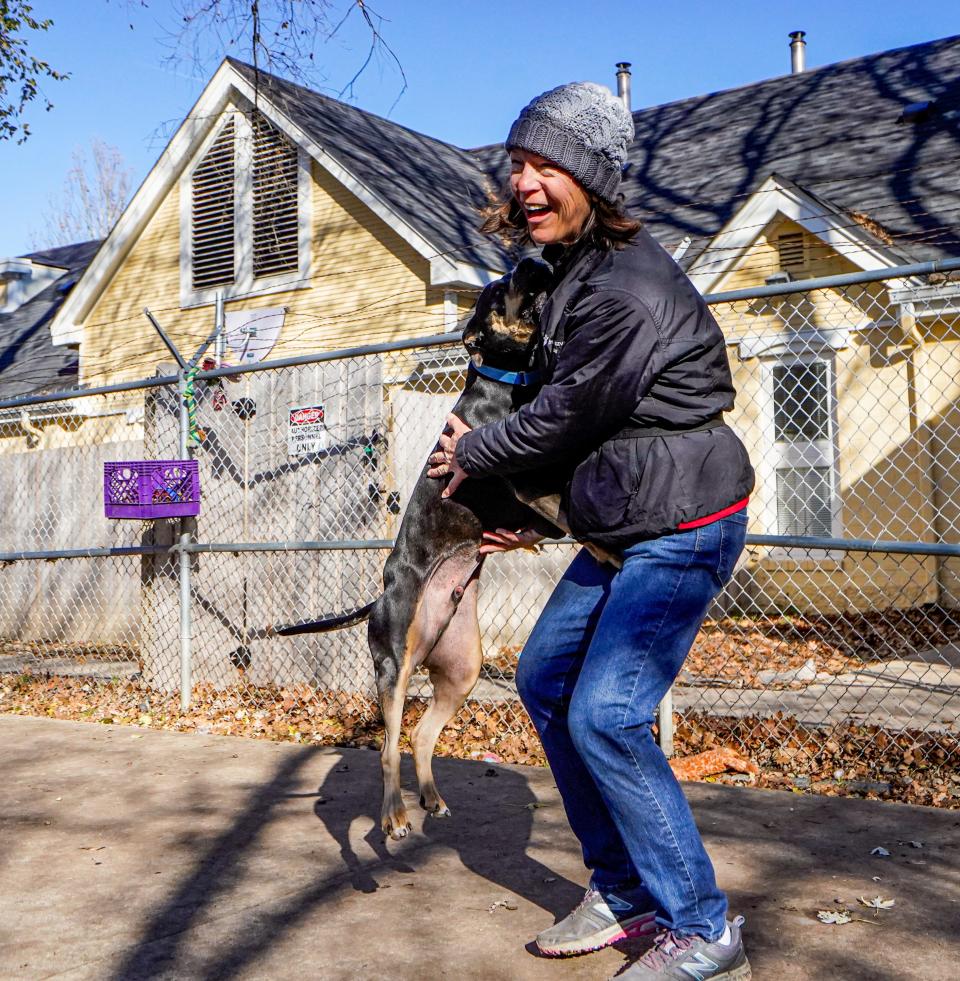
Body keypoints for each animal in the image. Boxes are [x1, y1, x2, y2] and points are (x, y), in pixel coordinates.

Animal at [278, 258, 608, 836]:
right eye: (498, 291)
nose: (532, 260)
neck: (512, 382)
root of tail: (380, 599)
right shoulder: (532, 482)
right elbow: (575, 506)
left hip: (461, 669)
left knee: (420, 735)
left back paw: (431, 799)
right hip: (394, 665)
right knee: (388, 747)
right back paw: (394, 817)